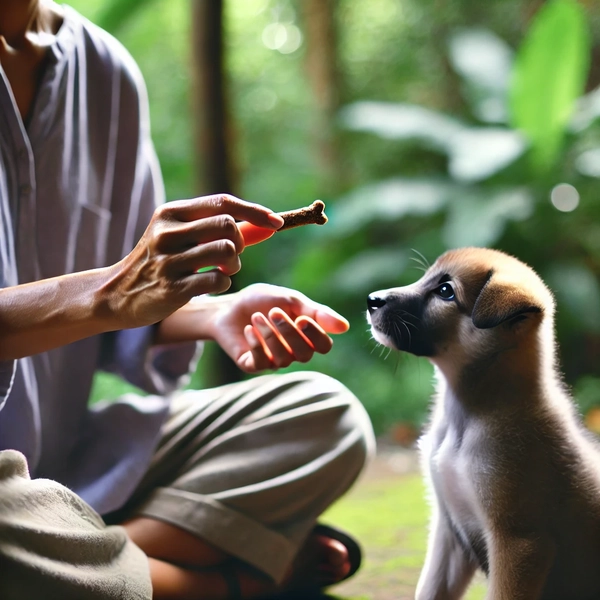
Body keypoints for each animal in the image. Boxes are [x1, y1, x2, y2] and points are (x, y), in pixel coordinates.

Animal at [366, 247, 600, 600]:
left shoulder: (518, 544)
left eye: (446, 291)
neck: (469, 417)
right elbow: (429, 590)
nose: (371, 300)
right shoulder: (449, 535)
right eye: (425, 277)